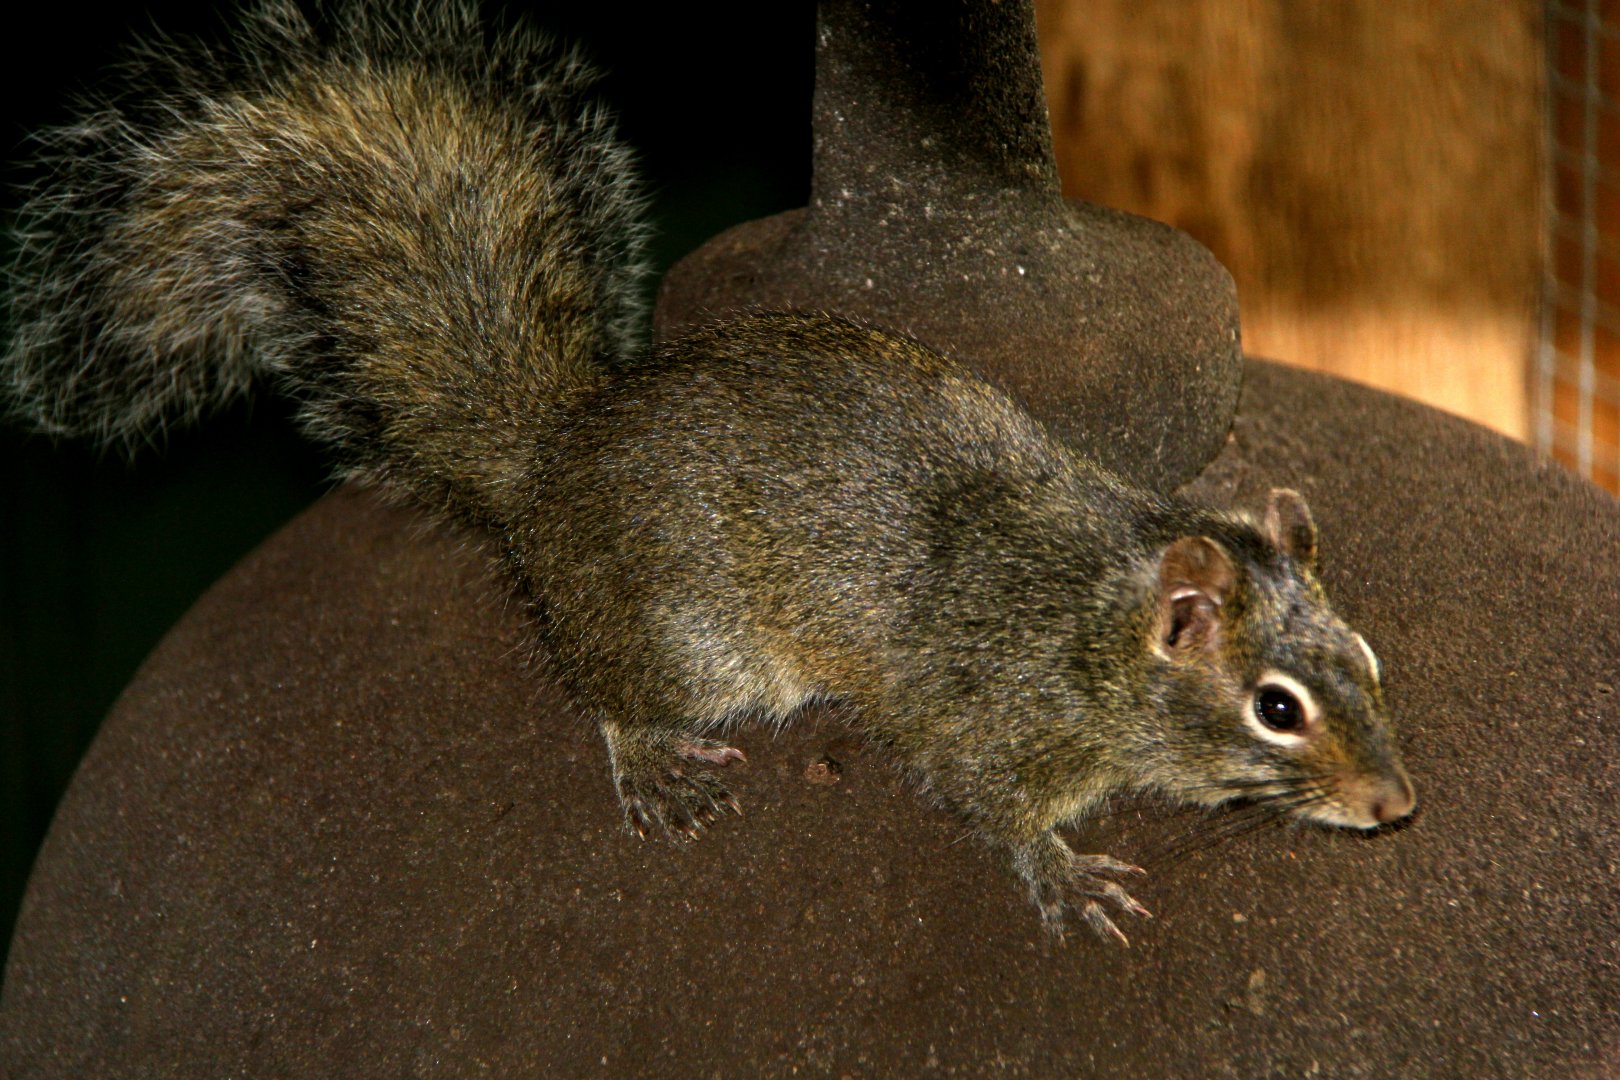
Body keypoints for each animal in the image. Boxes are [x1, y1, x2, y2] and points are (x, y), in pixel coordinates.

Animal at [3, 0, 1415, 943]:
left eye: (1369, 659)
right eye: (1275, 707)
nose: (1397, 805)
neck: (1087, 626)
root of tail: (551, 465)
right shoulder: (990, 725)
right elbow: (992, 810)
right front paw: (1064, 877)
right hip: (687, 640)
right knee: (610, 690)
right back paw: (650, 761)